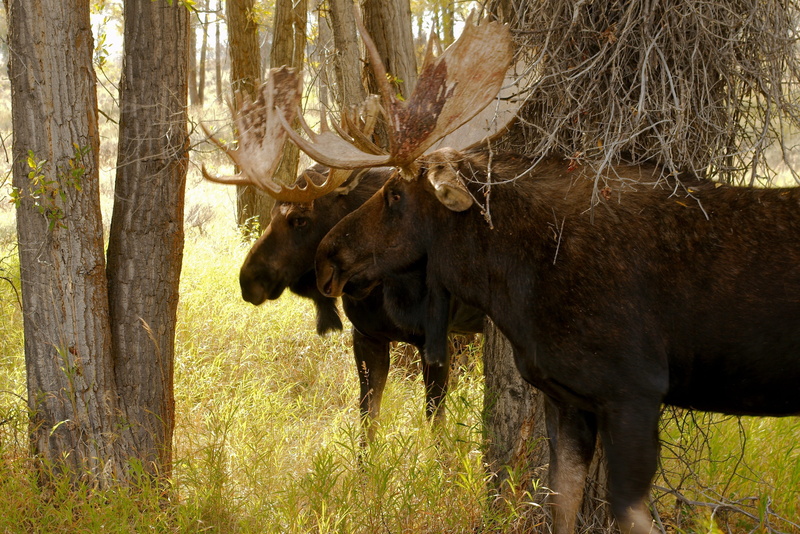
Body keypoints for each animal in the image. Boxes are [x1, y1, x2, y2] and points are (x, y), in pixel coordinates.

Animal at [237, 165, 483, 440]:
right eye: (271, 214)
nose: (248, 281)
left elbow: (435, 419)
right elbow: (368, 416)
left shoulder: (434, 340)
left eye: (300, 219)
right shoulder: (366, 336)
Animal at [313, 147, 800, 533]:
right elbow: (560, 505)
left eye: (395, 195)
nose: (326, 258)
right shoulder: (568, 399)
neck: (514, 279)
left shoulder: (634, 393)